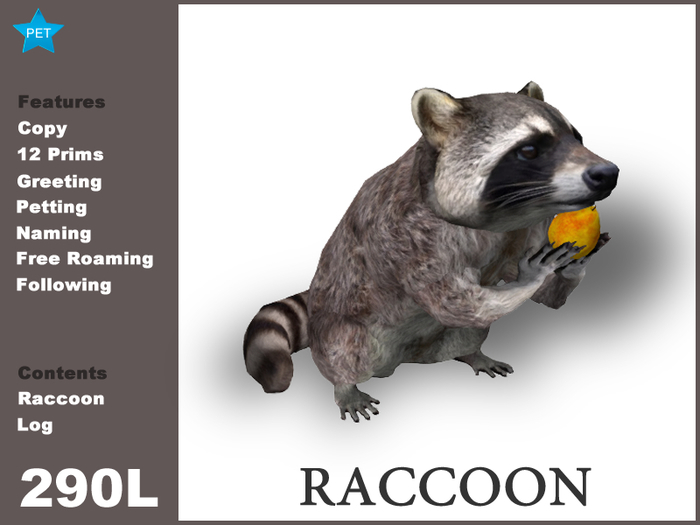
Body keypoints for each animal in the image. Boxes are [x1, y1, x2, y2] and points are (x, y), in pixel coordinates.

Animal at [243, 82, 618, 422]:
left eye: (577, 138)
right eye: (529, 150)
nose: (608, 173)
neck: (505, 217)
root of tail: (407, 359)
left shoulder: (526, 230)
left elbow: (540, 300)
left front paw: (575, 263)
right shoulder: (411, 238)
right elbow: (459, 305)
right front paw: (533, 275)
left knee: (466, 334)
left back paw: (472, 353)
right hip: (344, 321)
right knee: (348, 348)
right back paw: (345, 385)